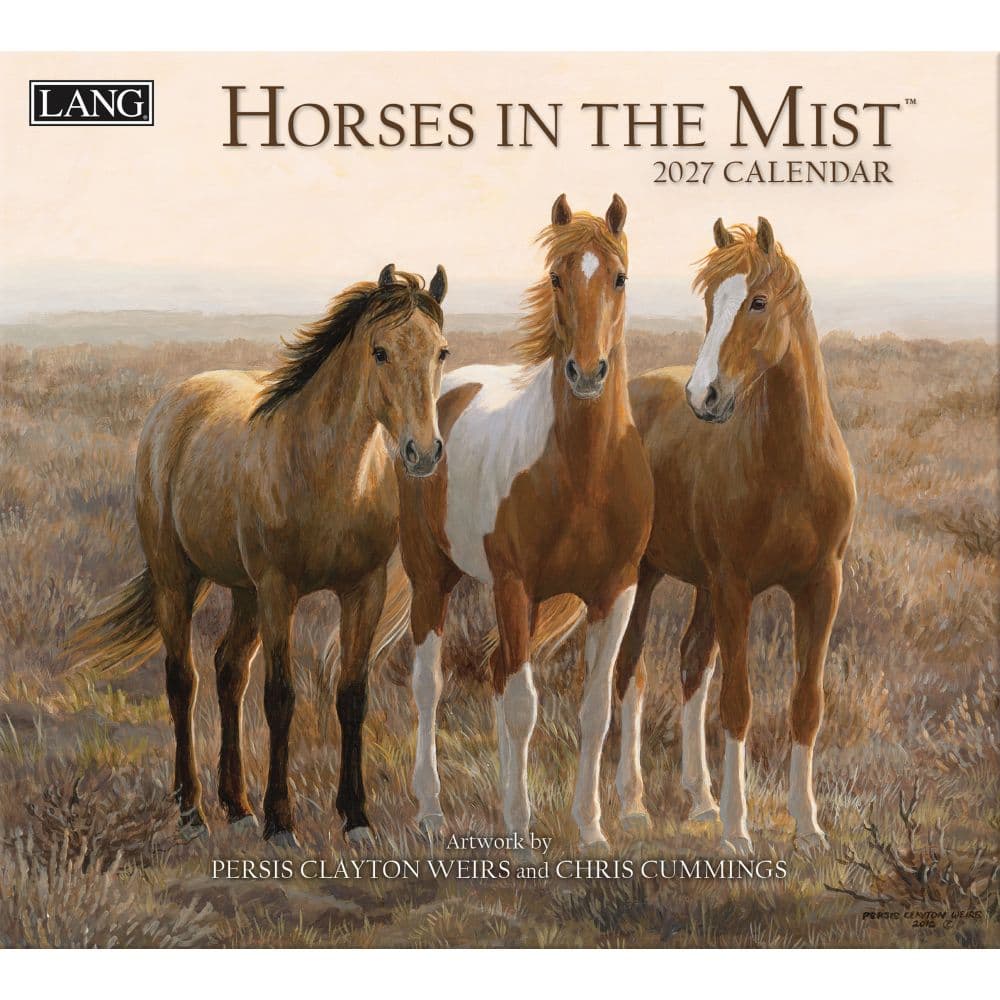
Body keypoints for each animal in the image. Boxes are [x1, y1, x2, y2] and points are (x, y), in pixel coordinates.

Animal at [68, 265, 450, 846]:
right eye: (380, 351)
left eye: (441, 352)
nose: (422, 452)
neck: (325, 473)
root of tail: (175, 402)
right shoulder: (278, 591)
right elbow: (280, 697)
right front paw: (281, 821)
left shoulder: (364, 590)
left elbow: (351, 695)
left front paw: (356, 817)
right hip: (177, 579)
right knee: (183, 679)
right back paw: (192, 811)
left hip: (242, 590)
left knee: (228, 671)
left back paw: (236, 805)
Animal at [395, 194, 654, 848]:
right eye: (556, 277)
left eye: (619, 277)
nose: (586, 373)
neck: (584, 472)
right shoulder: (515, 586)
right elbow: (521, 707)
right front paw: (520, 828)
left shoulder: (615, 592)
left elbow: (594, 710)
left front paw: (590, 828)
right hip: (431, 577)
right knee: (431, 684)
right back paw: (431, 809)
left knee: (495, 672)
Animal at [515, 217, 856, 853]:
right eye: (707, 302)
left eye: (758, 301)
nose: (706, 397)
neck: (791, 467)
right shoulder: (736, 586)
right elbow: (738, 703)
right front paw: (737, 832)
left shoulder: (821, 586)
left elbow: (806, 703)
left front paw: (808, 827)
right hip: (647, 578)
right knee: (631, 673)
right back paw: (632, 806)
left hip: (701, 586)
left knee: (692, 663)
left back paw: (700, 799)